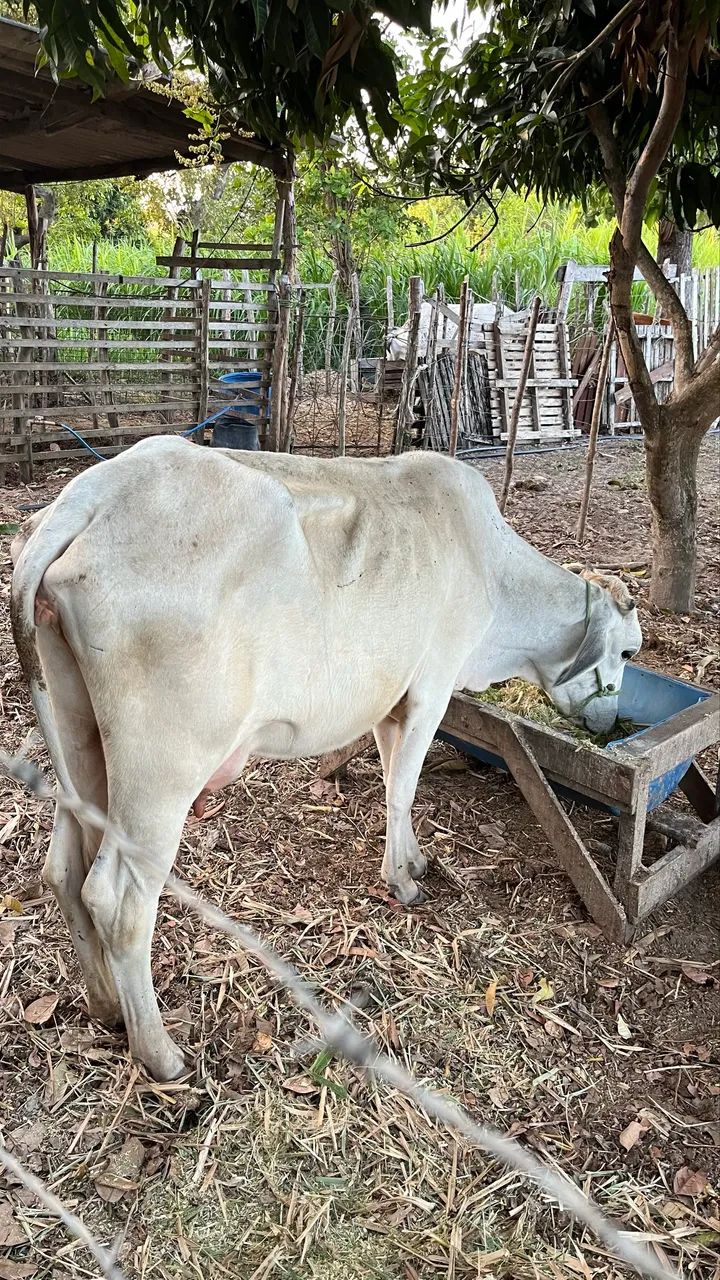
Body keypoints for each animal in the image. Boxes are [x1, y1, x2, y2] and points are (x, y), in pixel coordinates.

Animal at [10, 438, 641, 1080]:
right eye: (629, 651)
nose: (609, 723)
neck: (491, 571)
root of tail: (92, 492)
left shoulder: (390, 700)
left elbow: (392, 778)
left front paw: (412, 860)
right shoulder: (433, 685)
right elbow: (403, 786)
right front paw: (402, 882)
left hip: (79, 741)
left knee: (63, 870)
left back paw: (106, 1006)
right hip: (160, 773)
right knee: (117, 900)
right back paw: (161, 1054)